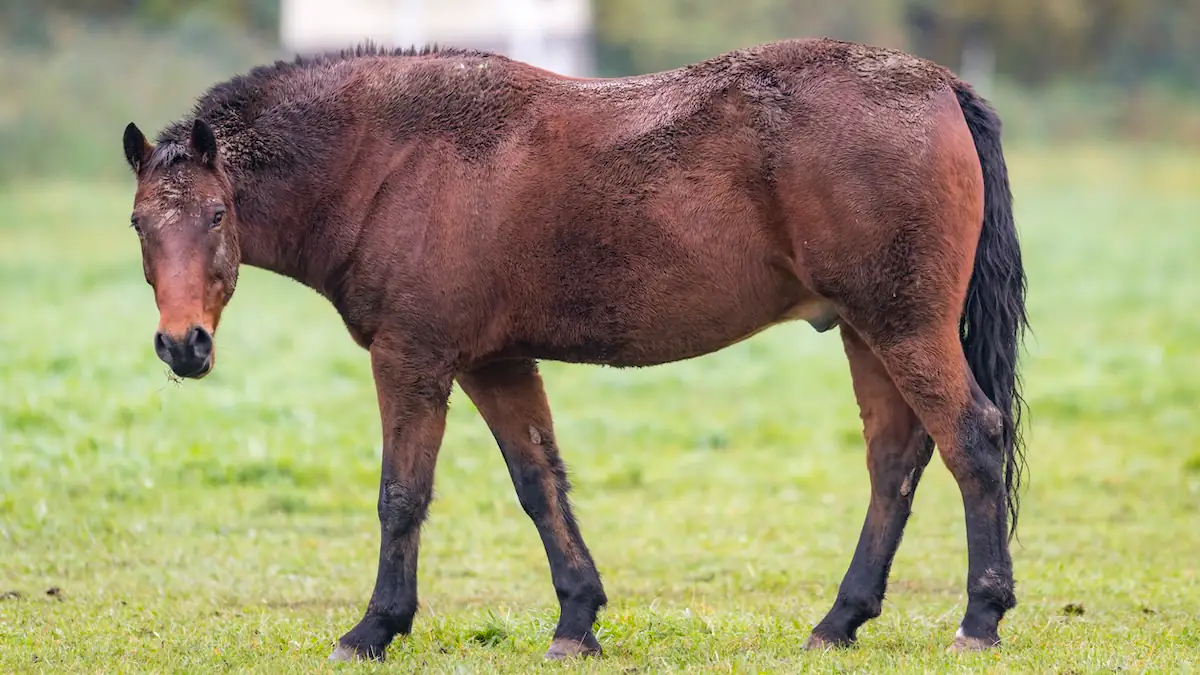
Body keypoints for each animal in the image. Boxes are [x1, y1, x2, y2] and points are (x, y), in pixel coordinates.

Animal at [120, 37, 1028, 661]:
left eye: (216, 215)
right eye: (138, 224)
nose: (182, 345)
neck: (391, 160)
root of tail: (940, 84)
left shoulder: (413, 361)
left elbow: (401, 496)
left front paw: (374, 627)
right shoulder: (493, 364)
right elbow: (540, 484)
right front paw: (577, 620)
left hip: (903, 327)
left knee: (971, 440)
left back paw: (979, 618)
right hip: (868, 332)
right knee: (895, 460)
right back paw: (840, 619)